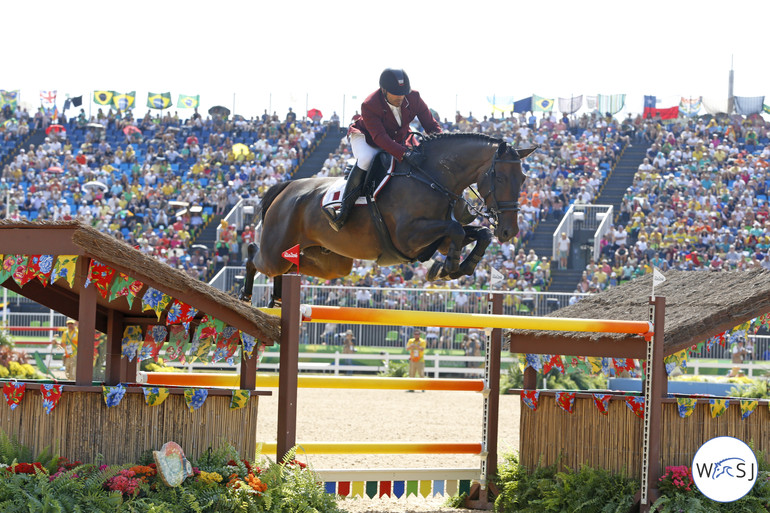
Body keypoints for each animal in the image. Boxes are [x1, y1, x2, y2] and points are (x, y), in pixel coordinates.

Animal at [240, 132, 536, 306]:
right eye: (500, 178)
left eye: (523, 179)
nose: (509, 232)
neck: (432, 178)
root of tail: (287, 187)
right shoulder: (409, 237)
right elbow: (457, 229)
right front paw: (447, 268)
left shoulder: (437, 240)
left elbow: (477, 234)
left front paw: (458, 267)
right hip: (276, 251)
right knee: (256, 255)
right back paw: (245, 295)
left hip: (332, 264)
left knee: (293, 265)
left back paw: (277, 299)